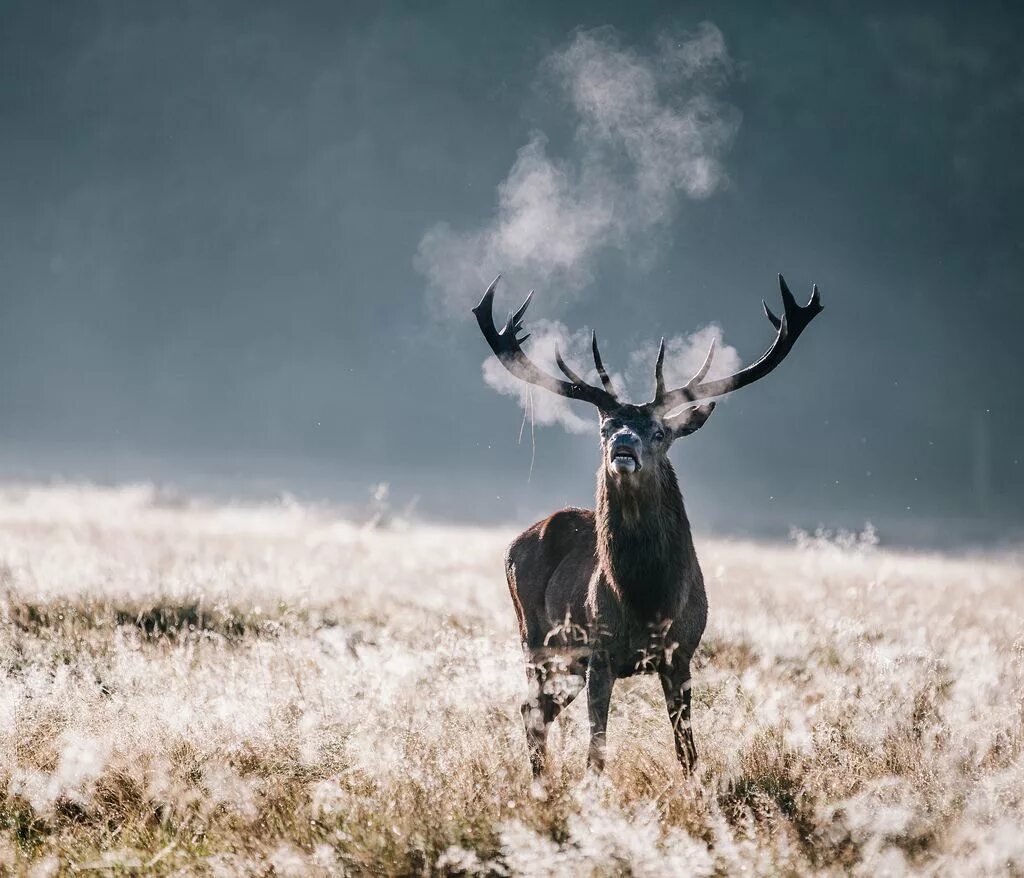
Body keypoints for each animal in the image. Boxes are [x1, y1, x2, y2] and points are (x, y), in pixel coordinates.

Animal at [473, 272, 823, 774]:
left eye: (659, 432)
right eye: (604, 428)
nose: (623, 444)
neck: (647, 600)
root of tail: (513, 545)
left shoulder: (682, 654)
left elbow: (687, 750)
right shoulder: (600, 652)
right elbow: (597, 752)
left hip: (566, 659)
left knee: (536, 708)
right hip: (534, 635)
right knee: (531, 707)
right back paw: (540, 782)